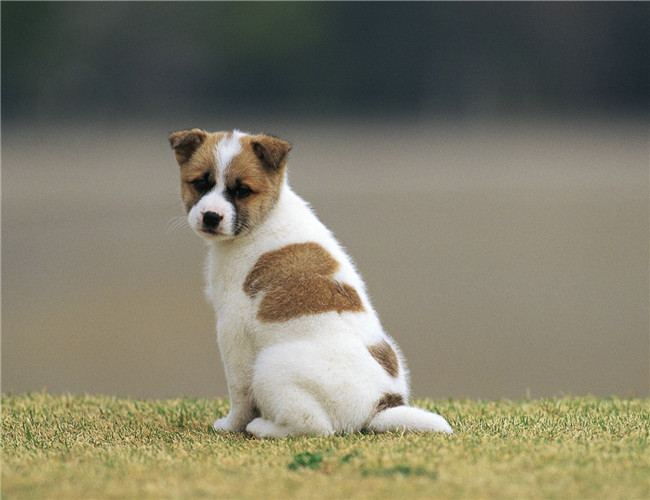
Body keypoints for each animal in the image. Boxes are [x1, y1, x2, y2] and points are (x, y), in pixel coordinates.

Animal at [168, 128, 450, 438]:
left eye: (242, 191)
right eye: (200, 183)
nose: (211, 216)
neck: (266, 219)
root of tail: (380, 405)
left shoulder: (233, 331)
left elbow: (239, 393)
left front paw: (231, 426)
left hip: (271, 366)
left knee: (313, 425)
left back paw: (263, 427)